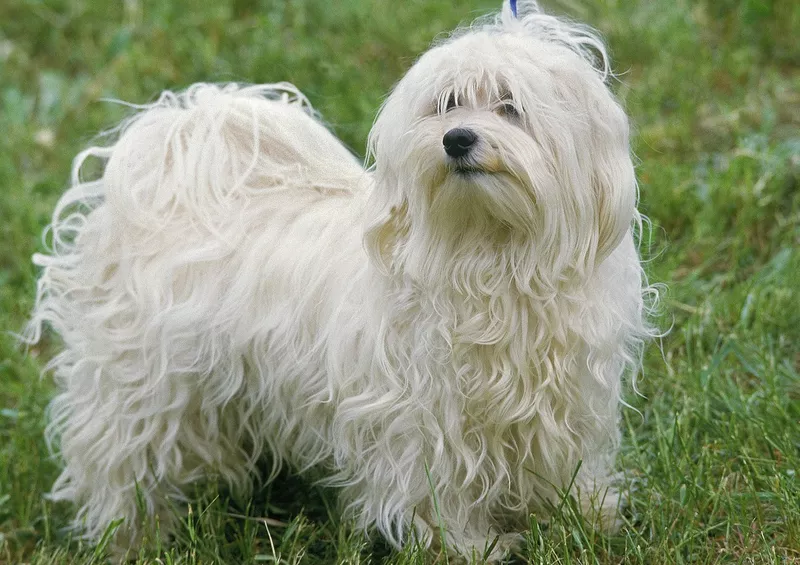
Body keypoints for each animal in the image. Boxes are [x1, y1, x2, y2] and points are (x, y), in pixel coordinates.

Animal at [29, 0, 656, 560]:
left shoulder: (565, 400)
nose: (457, 138)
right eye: (447, 104)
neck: (488, 248)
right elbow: (438, 488)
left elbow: (563, 463)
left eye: (510, 106)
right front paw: (468, 546)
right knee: (118, 459)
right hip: (139, 387)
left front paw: (585, 516)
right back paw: (130, 537)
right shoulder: (424, 418)